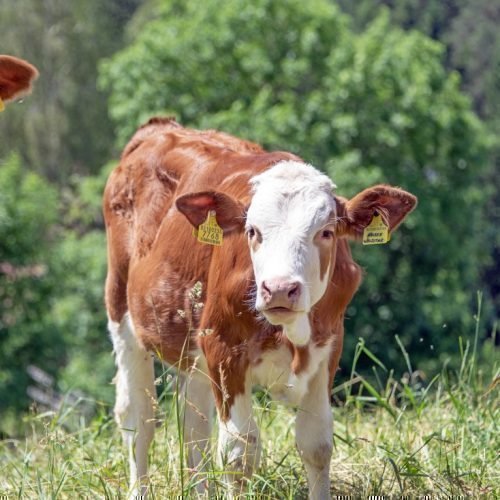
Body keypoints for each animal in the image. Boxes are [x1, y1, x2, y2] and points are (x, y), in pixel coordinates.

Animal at [103, 116, 416, 496]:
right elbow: (239, 454)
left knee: (193, 427)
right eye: (252, 231)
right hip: (123, 312)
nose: (280, 289)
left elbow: (316, 445)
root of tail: (160, 126)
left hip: (194, 348)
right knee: (138, 420)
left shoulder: (328, 347)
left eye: (326, 232)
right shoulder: (225, 350)